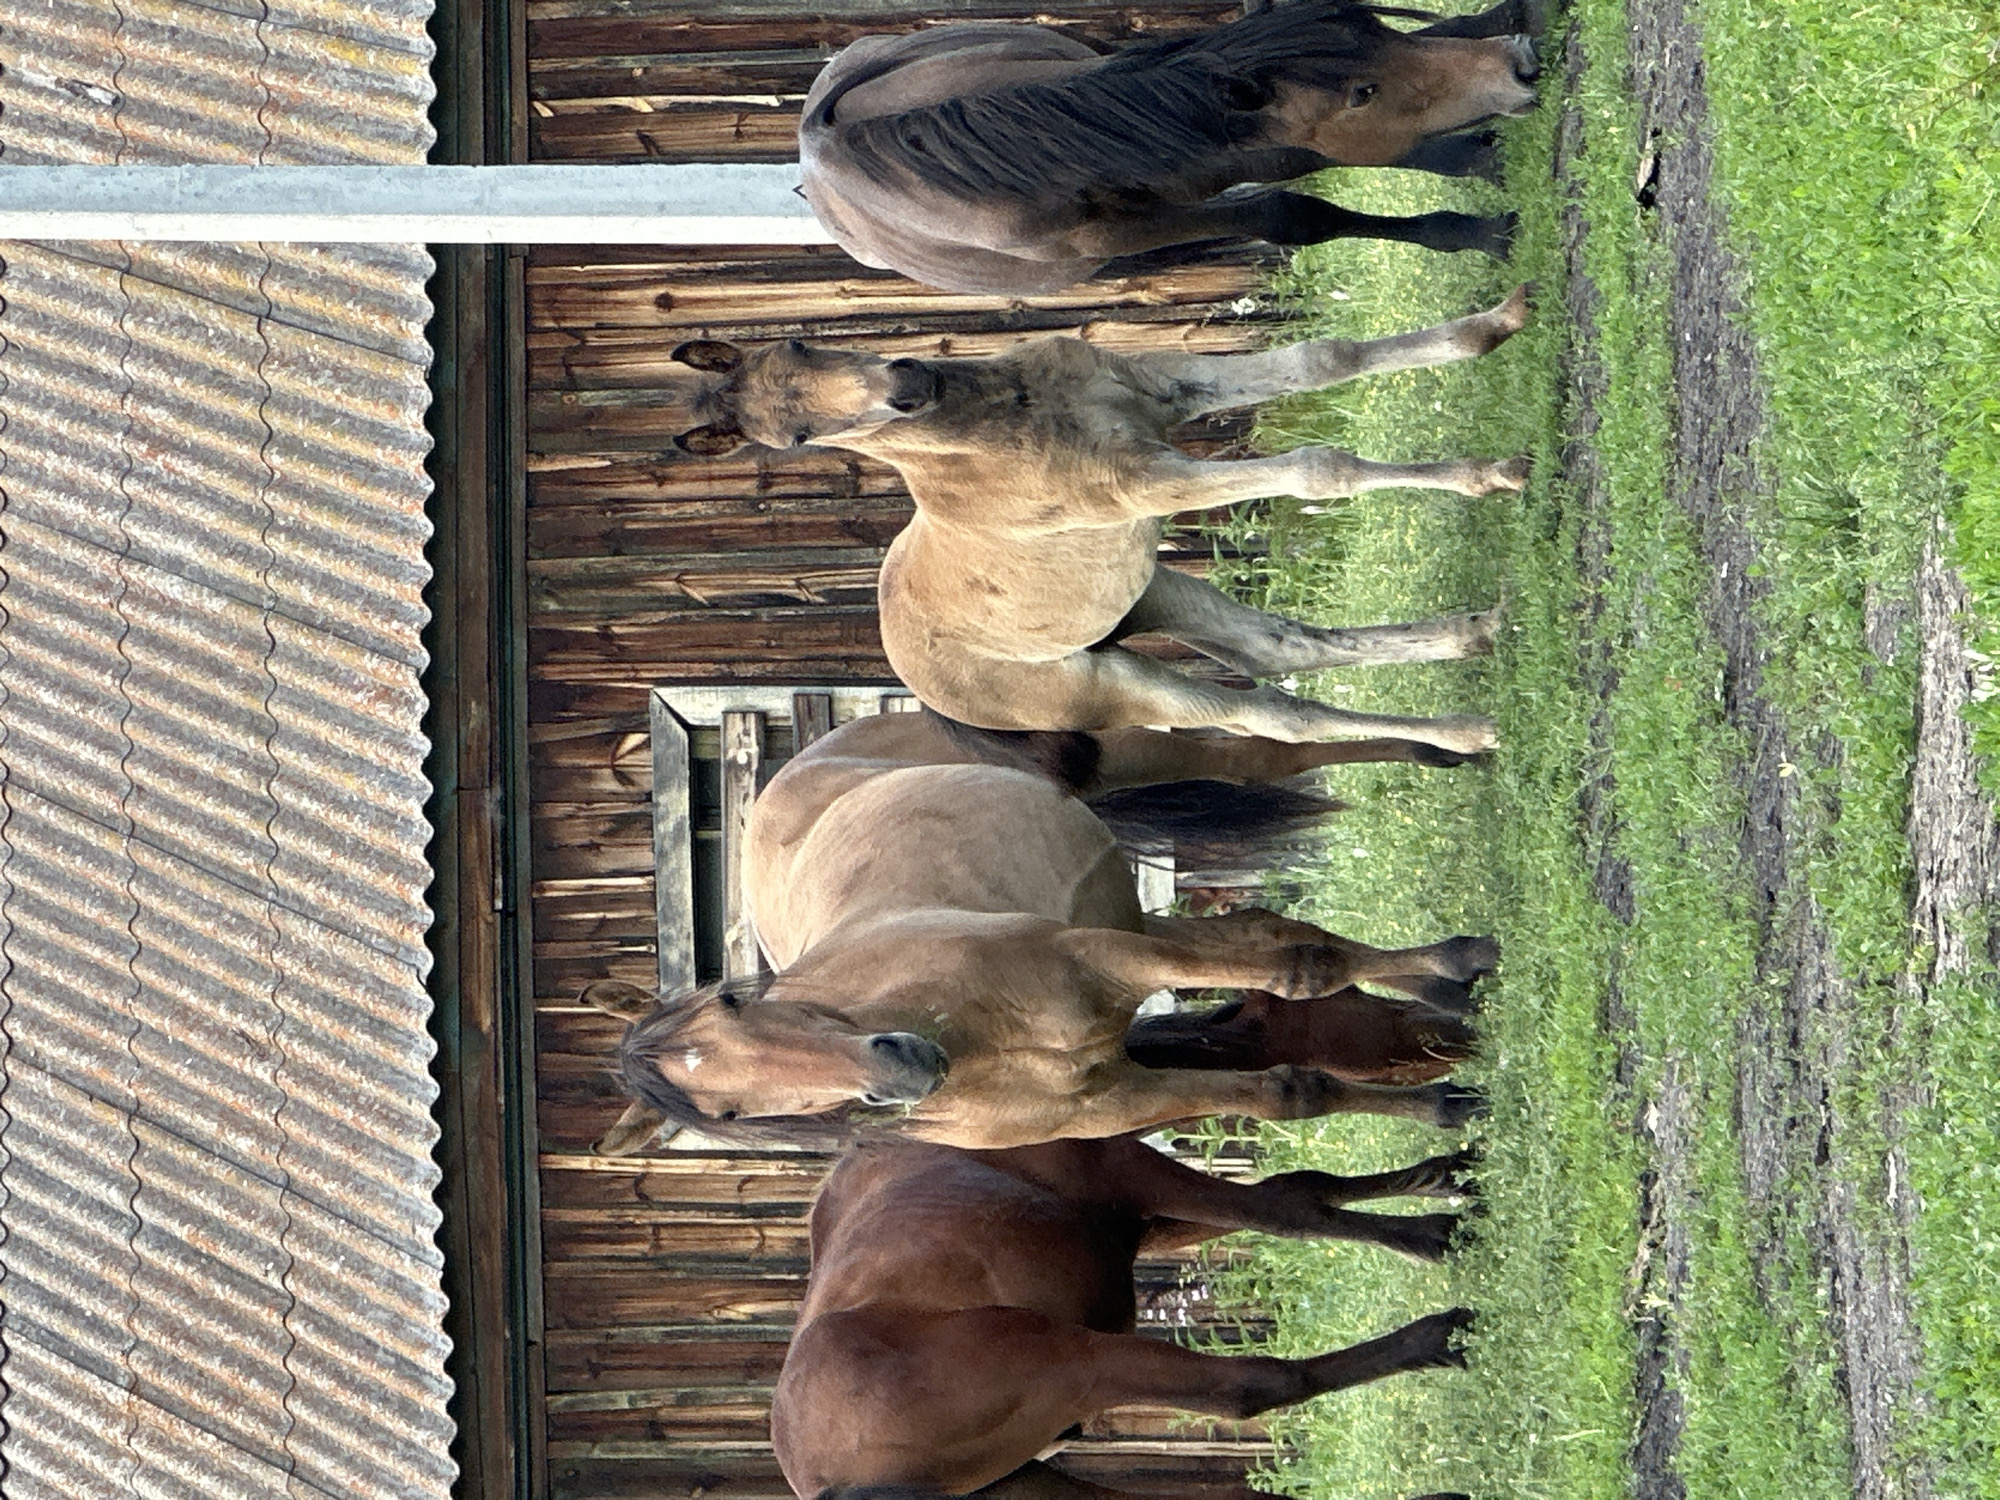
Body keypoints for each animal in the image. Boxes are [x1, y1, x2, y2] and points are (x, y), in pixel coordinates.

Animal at [589, 708, 1491, 1156]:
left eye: (734, 1003)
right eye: (730, 1112)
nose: (901, 1070)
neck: (981, 1044)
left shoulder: (1112, 956)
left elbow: (1307, 970)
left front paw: (1463, 962)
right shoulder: (1125, 1097)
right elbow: (1290, 1090)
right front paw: (1445, 1103)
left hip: (1119, 769)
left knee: (1260, 757)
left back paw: (1450, 756)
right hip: (1121, 897)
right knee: (1261, 927)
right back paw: (1442, 985)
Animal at [662, 286, 1532, 753]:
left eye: (799, 342)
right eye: (797, 438)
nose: (909, 387)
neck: (1001, 417)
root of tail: (928, 693)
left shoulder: (1162, 387)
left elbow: (1326, 358)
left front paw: (1498, 328)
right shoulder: (1143, 486)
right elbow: (1320, 467)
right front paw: (1494, 471)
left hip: (1149, 591)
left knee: (1280, 648)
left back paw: (1480, 635)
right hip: (1120, 686)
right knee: (1270, 715)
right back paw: (1472, 730)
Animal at [772, 1133, 1477, 1499]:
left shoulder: (1138, 1218)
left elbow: (1301, 1186)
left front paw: (1448, 1174)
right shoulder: (1130, 1173)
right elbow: (1292, 1210)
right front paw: (1435, 1234)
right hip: (1079, 1360)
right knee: (1251, 1386)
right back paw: (1442, 1338)